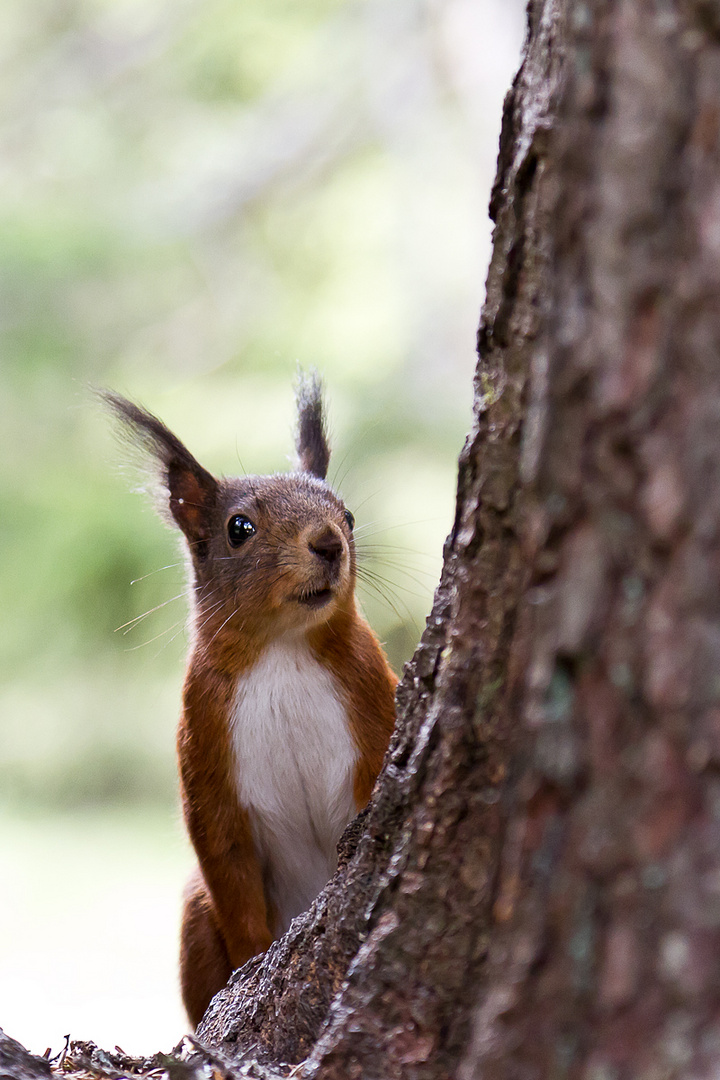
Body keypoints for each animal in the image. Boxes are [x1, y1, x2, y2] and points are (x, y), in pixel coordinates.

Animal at [106, 380, 397, 1028]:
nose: (329, 543)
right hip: (196, 912)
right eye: (239, 527)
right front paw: (252, 964)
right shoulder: (206, 754)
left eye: (348, 515)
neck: (283, 650)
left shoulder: (376, 702)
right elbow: (228, 870)